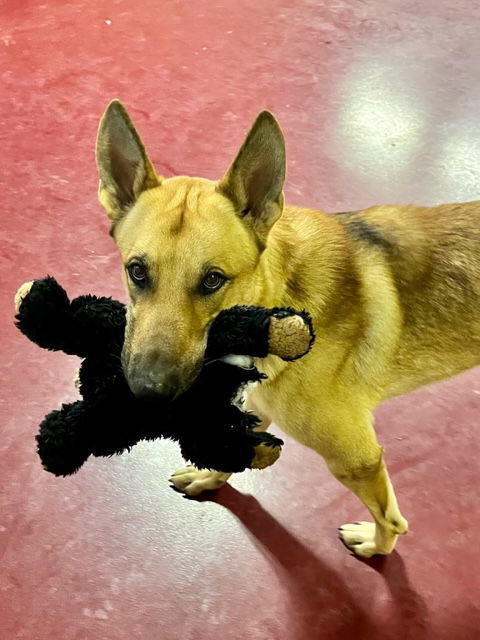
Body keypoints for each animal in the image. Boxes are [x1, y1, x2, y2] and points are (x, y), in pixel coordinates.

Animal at [93, 100, 480, 556]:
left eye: (213, 280)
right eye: (137, 271)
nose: (148, 391)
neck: (274, 305)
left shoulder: (358, 460)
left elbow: (392, 521)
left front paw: (376, 548)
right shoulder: (258, 405)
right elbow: (232, 451)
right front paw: (208, 478)